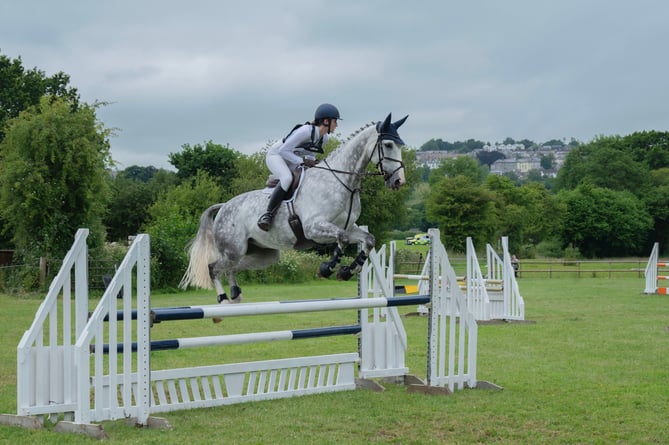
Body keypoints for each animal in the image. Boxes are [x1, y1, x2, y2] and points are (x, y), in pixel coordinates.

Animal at [179, 112, 408, 304]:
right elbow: (341, 239)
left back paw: (236, 294)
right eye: (388, 144)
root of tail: (224, 206)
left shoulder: (349, 227)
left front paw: (346, 271)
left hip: (263, 254)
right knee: (213, 268)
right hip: (234, 248)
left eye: (400, 146)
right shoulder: (313, 228)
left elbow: (368, 240)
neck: (342, 181)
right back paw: (224, 299)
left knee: (232, 267)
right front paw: (327, 268)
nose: (399, 181)